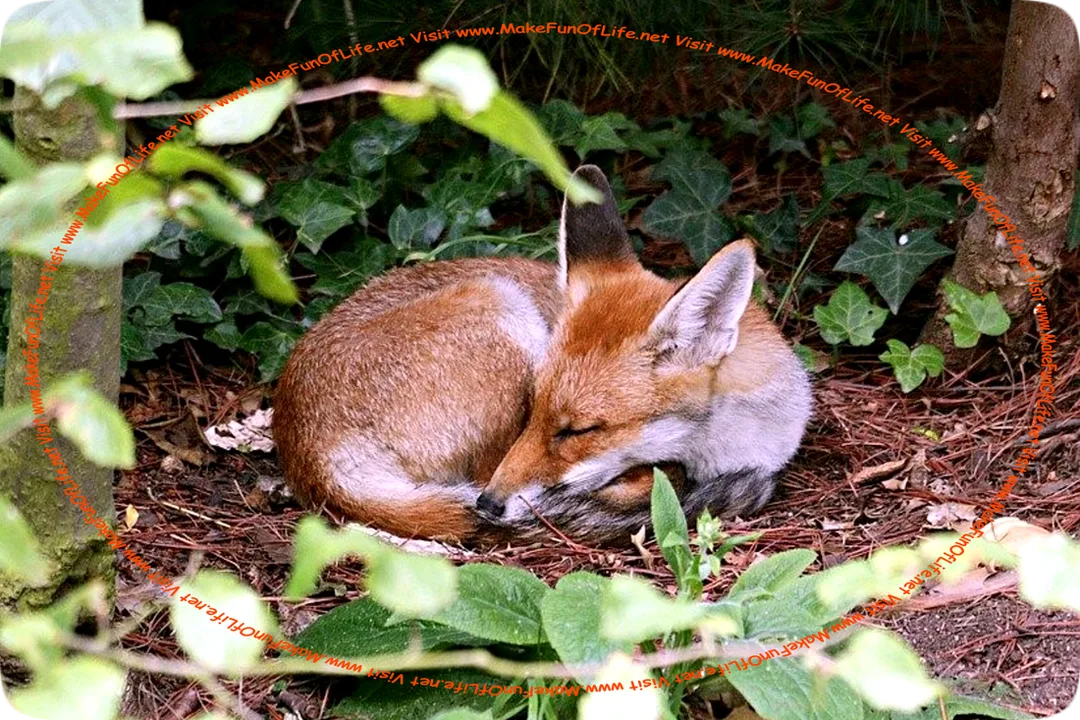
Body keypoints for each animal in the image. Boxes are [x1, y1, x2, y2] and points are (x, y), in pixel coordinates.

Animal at [272, 164, 813, 544]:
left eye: (579, 431)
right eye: (530, 410)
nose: (489, 506)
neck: (724, 447)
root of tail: (305, 447)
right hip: (501, 306)